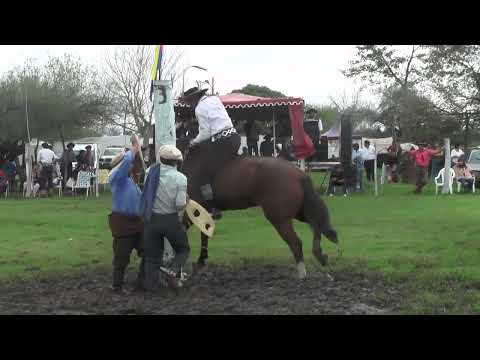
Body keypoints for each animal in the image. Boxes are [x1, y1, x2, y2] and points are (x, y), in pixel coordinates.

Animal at [178, 141, 340, 278]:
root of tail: (299, 174)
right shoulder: (202, 213)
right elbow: (204, 235)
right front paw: (200, 262)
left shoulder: (193, 211)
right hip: (297, 212)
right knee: (316, 223)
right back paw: (321, 256)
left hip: (279, 218)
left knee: (296, 242)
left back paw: (303, 274)